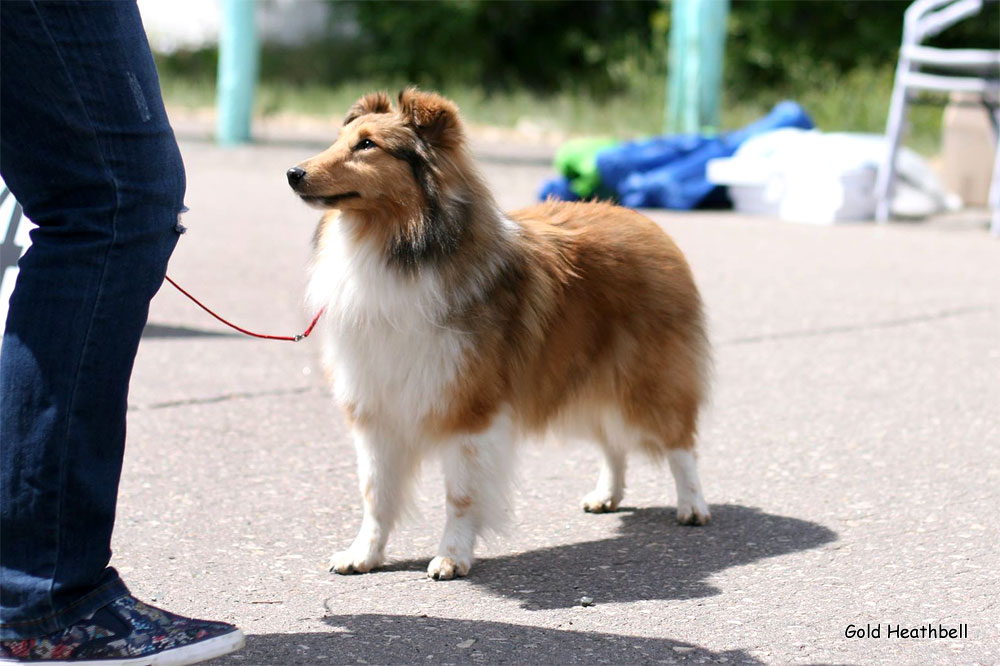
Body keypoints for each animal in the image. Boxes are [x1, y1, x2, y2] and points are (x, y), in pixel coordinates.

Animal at [290, 88, 712, 576]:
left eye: (366, 145)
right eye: (338, 139)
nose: (293, 174)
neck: (399, 246)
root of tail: (643, 220)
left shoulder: (469, 409)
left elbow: (460, 494)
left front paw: (451, 557)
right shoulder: (377, 406)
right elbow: (375, 493)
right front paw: (363, 555)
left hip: (647, 378)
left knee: (681, 442)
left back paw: (693, 506)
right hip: (582, 378)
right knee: (612, 442)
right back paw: (606, 495)